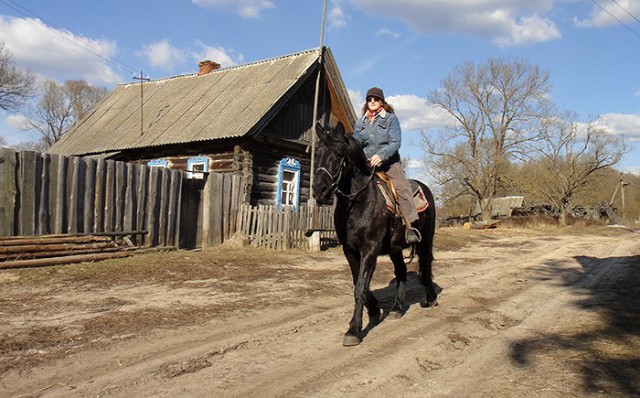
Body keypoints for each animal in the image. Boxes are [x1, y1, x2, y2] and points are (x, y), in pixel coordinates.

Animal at [312, 123, 440, 346]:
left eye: (339, 154)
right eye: (317, 153)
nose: (320, 189)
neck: (359, 201)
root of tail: (425, 188)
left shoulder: (369, 249)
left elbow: (360, 287)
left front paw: (354, 331)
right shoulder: (350, 250)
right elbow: (359, 285)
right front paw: (374, 311)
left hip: (425, 240)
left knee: (425, 264)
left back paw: (431, 298)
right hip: (395, 248)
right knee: (401, 272)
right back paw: (397, 308)